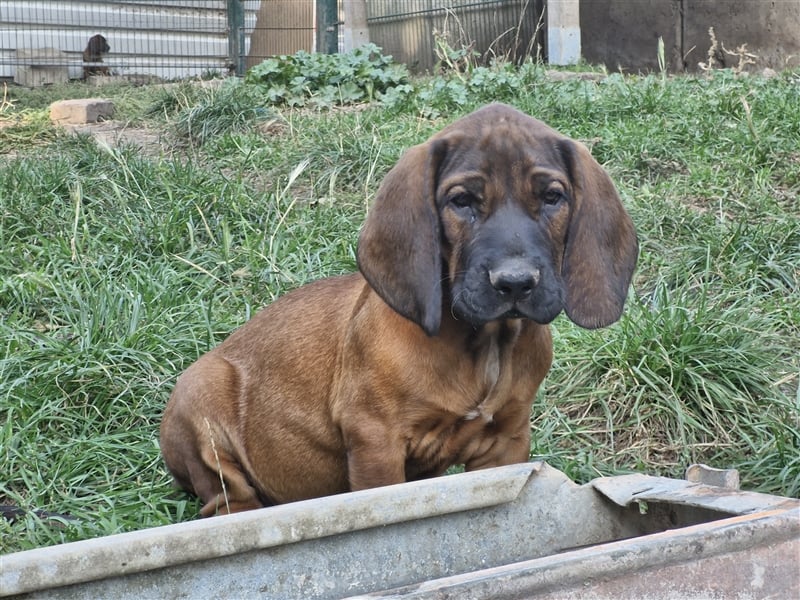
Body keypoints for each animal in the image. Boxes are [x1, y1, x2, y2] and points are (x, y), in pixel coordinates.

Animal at [161, 103, 636, 516]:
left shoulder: (506, 442)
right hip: (200, 394)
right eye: (461, 201)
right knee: (226, 499)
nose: (515, 282)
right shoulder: (376, 440)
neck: (482, 343)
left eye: (553, 197)